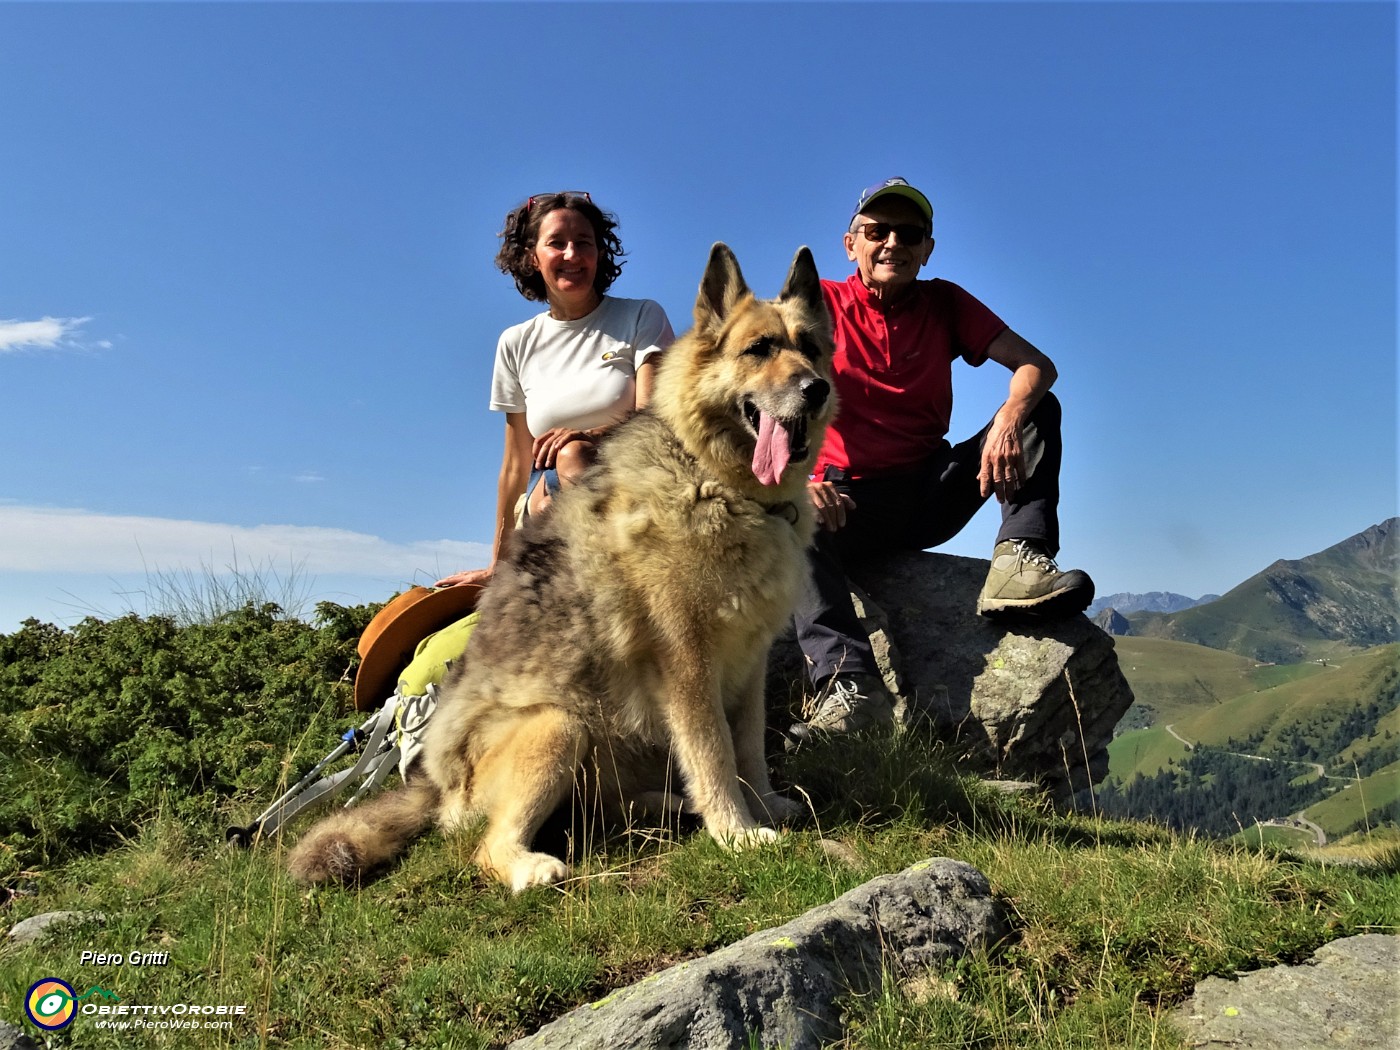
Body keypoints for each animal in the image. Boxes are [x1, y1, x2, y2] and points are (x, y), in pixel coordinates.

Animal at [284, 242, 828, 890]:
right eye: (759, 349)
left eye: (811, 347)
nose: (817, 389)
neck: (715, 480)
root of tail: (433, 784)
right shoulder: (689, 666)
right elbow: (714, 752)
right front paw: (737, 832)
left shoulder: (749, 665)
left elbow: (748, 748)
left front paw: (762, 807)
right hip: (559, 725)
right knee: (487, 846)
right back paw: (533, 867)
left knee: (604, 806)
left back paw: (669, 807)